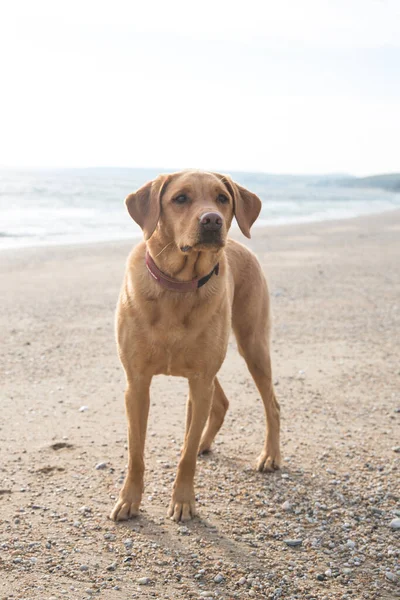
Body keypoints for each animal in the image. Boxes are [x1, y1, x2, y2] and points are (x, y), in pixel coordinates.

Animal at [110, 171, 282, 524]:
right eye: (180, 198)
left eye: (222, 198)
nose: (213, 220)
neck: (178, 287)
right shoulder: (137, 384)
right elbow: (136, 452)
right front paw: (129, 500)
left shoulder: (200, 381)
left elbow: (186, 457)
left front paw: (183, 501)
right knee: (222, 403)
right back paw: (205, 441)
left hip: (252, 345)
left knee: (272, 405)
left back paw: (270, 455)